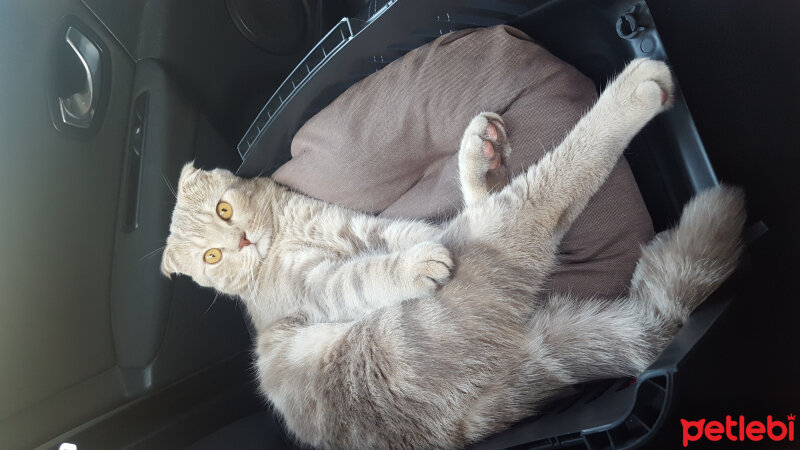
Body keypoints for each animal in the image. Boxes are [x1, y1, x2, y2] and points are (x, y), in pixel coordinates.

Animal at [161, 58, 744, 448]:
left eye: (224, 211)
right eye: (211, 259)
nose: (240, 243)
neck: (287, 232)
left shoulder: (373, 227)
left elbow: (408, 234)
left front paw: (480, 165)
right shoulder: (315, 287)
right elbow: (362, 276)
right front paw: (420, 264)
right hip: (486, 254)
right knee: (547, 189)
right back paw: (632, 92)